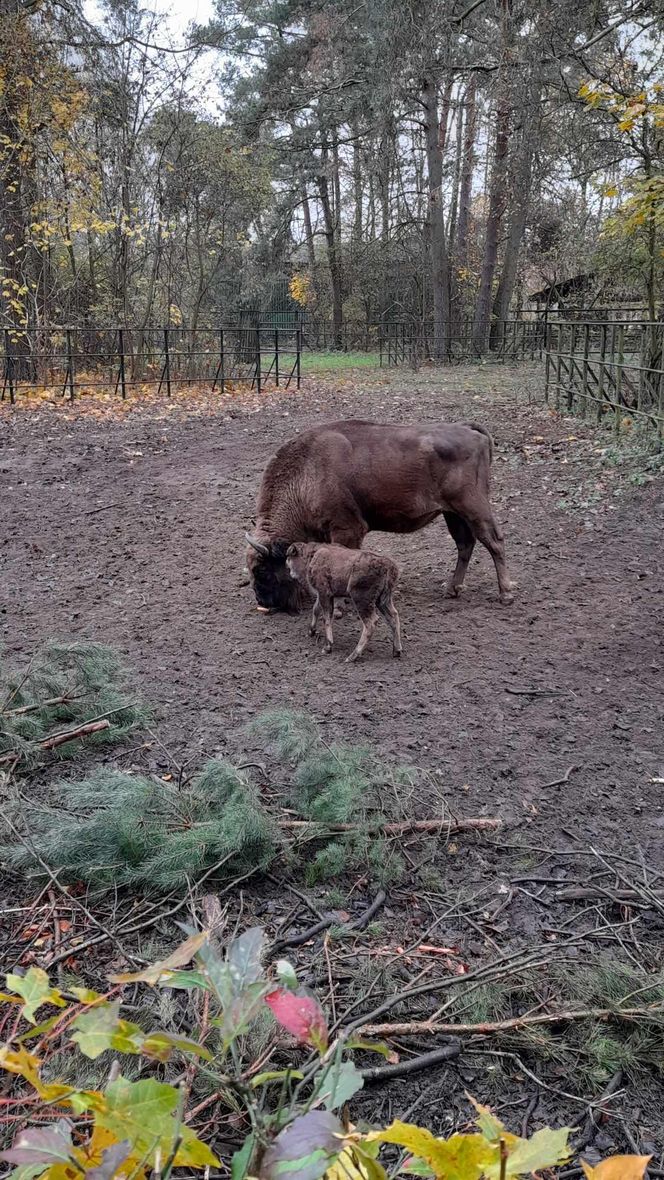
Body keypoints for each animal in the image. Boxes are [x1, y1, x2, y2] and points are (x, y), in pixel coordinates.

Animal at [244, 420, 514, 613]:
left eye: (262, 570)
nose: (264, 602)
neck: (306, 474)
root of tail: (469, 429)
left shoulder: (348, 529)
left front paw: (339, 608)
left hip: (473, 507)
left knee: (494, 541)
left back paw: (506, 595)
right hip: (452, 514)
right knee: (465, 544)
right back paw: (452, 590)